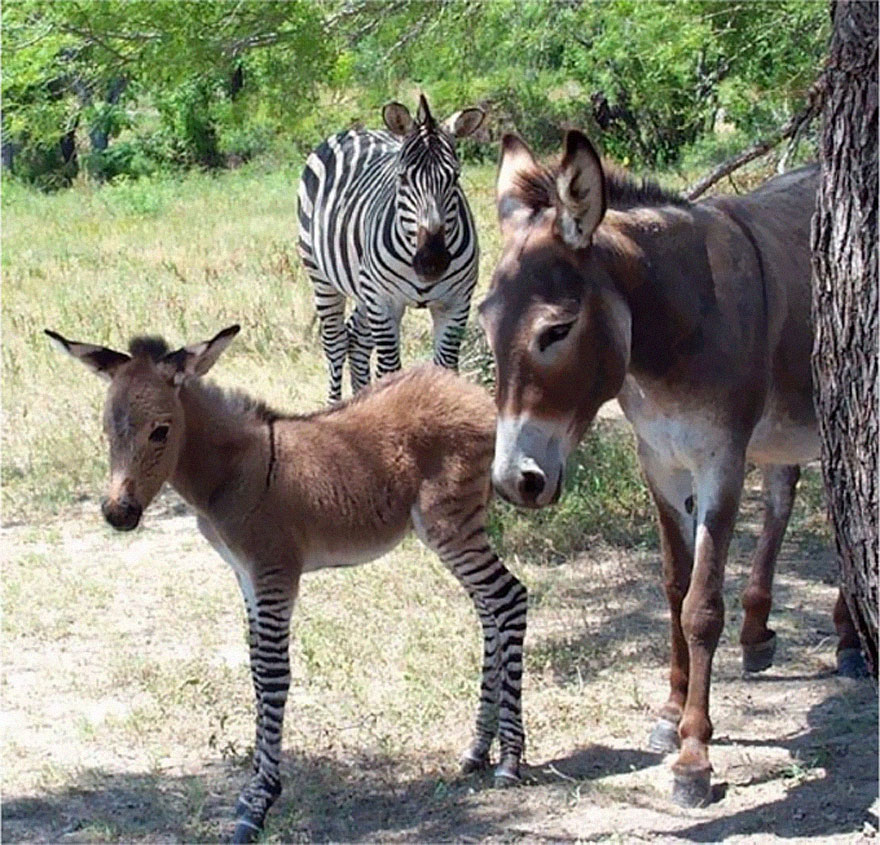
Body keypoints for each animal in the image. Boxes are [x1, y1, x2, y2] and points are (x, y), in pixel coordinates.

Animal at [298, 94, 484, 401]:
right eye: (403, 177)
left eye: (455, 178)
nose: (431, 261)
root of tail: (355, 131)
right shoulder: (384, 301)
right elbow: (390, 371)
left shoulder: (456, 302)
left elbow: (445, 370)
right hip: (322, 276)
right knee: (335, 343)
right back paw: (334, 404)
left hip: (362, 288)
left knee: (356, 339)